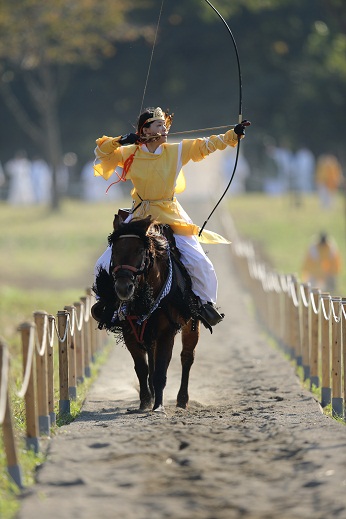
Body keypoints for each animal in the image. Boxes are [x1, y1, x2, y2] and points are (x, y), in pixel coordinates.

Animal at [92, 215, 201, 414]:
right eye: (115, 251)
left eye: (139, 250)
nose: (123, 288)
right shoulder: (130, 331)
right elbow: (142, 368)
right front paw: (145, 402)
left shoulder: (166, 332)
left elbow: (160, 370)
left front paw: (158, 406)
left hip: (191, 325)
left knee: (187, 357)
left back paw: (182, 400)